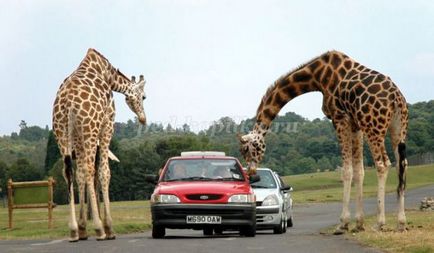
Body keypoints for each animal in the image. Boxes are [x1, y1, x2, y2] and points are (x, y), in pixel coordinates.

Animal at [52, 49, 147, 241]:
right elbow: (104, 172)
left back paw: (73, 230)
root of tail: (67, 103)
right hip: (90, 129)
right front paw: (109, 227)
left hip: (61, 133)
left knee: (69, 171)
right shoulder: (107, 124)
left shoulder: (77, 137)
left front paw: (82, 228)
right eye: (144, 97)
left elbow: (79, 175)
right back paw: (100, 229)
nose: (143, 119)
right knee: (90, 169)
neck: (108, 75)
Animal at [239, 50, 408, 234]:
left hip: (373, 127)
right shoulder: (355, 124)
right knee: (401, 164)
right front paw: (359, 223)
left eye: (247, 149)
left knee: (383, 164)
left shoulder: (339, 117)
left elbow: (347, 171)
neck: (317, 76)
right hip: (398, 128)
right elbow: (359, 171)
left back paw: (380, 222)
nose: (251, 173)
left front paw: (343, 223)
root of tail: (396, 98)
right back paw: (401, 222)